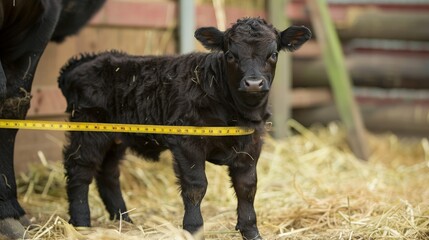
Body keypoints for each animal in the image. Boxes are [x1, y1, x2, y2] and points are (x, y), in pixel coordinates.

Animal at [57, 17, 310, 239]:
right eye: (230, 55)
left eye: (273, 54)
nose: (254, 83)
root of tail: (89, 59)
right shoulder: (187, 143)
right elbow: (196, 186)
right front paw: (194, 228)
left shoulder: (251, 144)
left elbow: (247, 187)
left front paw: (251, 232)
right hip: (89, 129)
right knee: (80, 169)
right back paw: (81, 223)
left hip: (116, 137)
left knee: (108, 172)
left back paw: (124, 220)